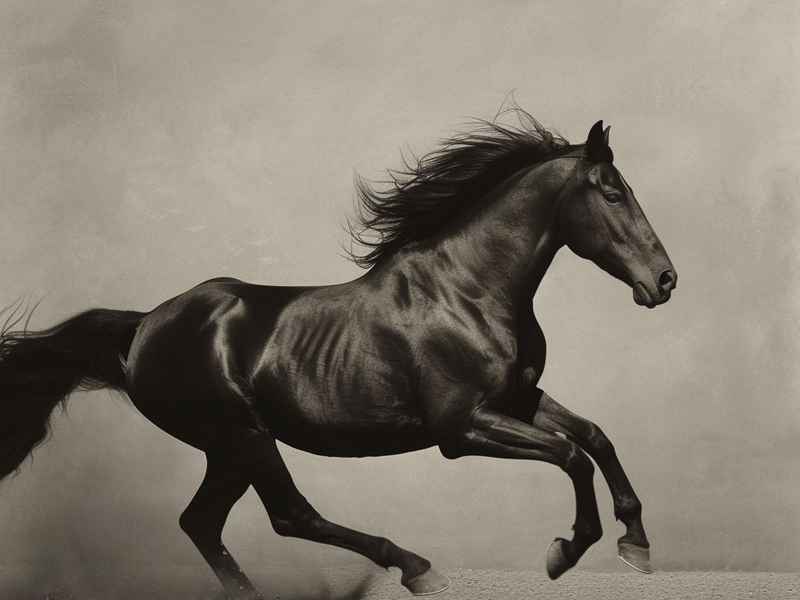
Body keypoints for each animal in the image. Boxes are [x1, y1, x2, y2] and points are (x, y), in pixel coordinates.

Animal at [0, 111, 676, 599]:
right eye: (613, 194)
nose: (665, 281)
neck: (468, 289)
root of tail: (142, 328)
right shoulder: (461, 427)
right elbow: (571, 455)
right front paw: (565, 552)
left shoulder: (518, 398)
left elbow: (594, 436)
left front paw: (637, 544)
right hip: (243, 435)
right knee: (290, 515)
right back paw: (416, 567)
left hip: (228, 448)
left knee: (203, 523)